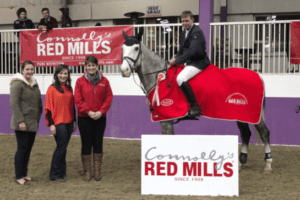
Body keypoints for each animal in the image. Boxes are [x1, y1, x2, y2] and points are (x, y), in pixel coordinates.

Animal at [119, 28, 272, 173]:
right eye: (122, 48)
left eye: (136, 48)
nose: (124, 70)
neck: (159, 78)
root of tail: (257, 75)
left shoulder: (166, 119)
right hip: (239, 113)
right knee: (245, 133)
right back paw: (241, 163)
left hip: (253, 114)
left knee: (264, 132)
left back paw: (268, 165)